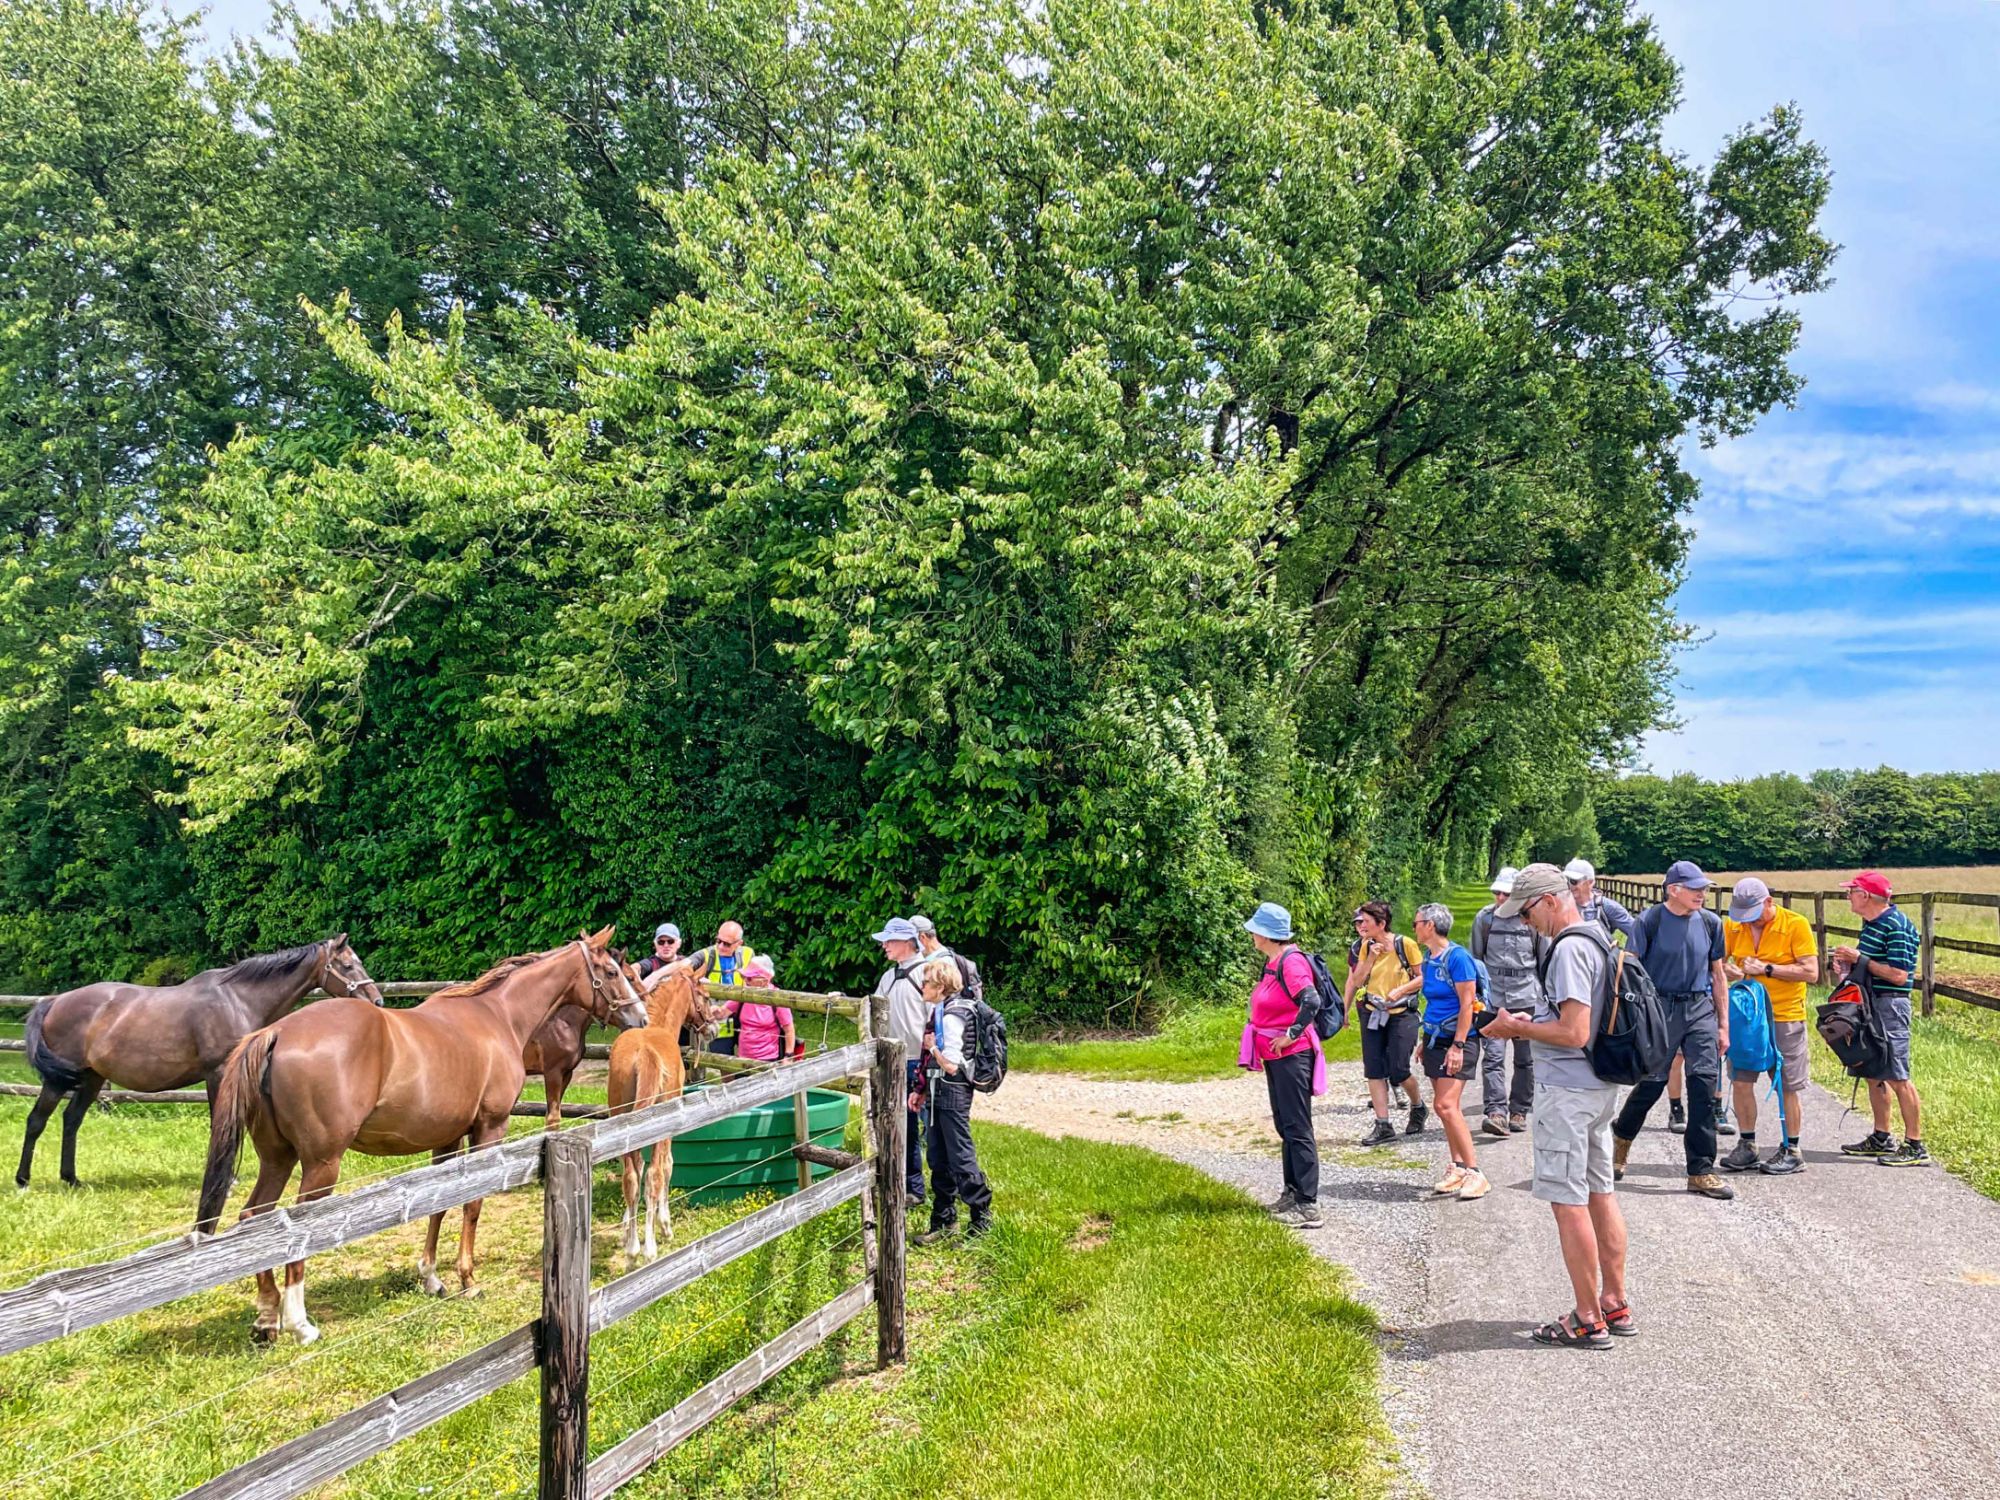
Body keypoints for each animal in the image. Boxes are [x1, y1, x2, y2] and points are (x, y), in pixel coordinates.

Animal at [16, 935, 383, 1189]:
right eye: (347, 965)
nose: (377, 1000)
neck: (237, 999)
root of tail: (55, 1001)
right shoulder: (217, 1073)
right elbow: (221, 1124)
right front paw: (229, 1177)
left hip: (92, 1078)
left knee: (71, 1120)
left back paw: (71, 1178)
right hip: (58, 1081)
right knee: (36, 1121)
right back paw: (23, 1180)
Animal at [195, 928, 647, 1344]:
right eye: (613, 972)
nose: (641, 1018)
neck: (497, 1015)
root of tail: (276, 1033)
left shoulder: (446, 1139)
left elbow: (439, 1207)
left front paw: (431, 1277)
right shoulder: (490, 1128)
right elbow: (472, 1206)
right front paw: (468, 1280)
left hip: (278, 1158)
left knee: (254, 1219)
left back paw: (266, 1317)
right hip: (321, 1164)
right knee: (293, 1234)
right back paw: (299, 1323)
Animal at [607, 963, 717, 1262]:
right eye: (704, 995)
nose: (713, 1029)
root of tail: (645, 1053)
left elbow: (637, 1171)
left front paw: (625, 1231)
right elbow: (667, 1166)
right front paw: (664, 1223)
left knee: (631, 1179)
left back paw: (632, 1248)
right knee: (654, 1175)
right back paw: (649, 1248)